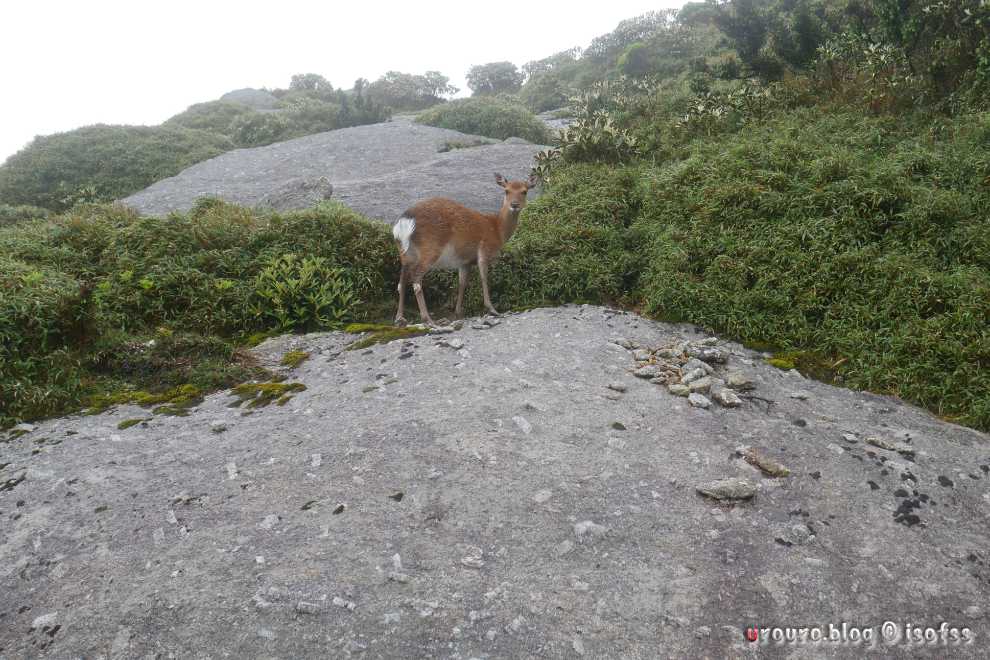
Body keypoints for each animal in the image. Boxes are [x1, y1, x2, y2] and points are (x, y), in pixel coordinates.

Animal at [392, 170, 540, 324]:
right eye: (507, 190)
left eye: (524, 191)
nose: (514, 204)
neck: (497, 230)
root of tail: (404, 223)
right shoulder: (484, 249)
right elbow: (484, 277)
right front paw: (492, 309)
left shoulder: (465, 262)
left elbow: (462, 283)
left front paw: (458, 312)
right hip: (430, 248)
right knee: (416, 280)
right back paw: (428, 319)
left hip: (405, 252)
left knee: (402, 282)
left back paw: (399, 317)